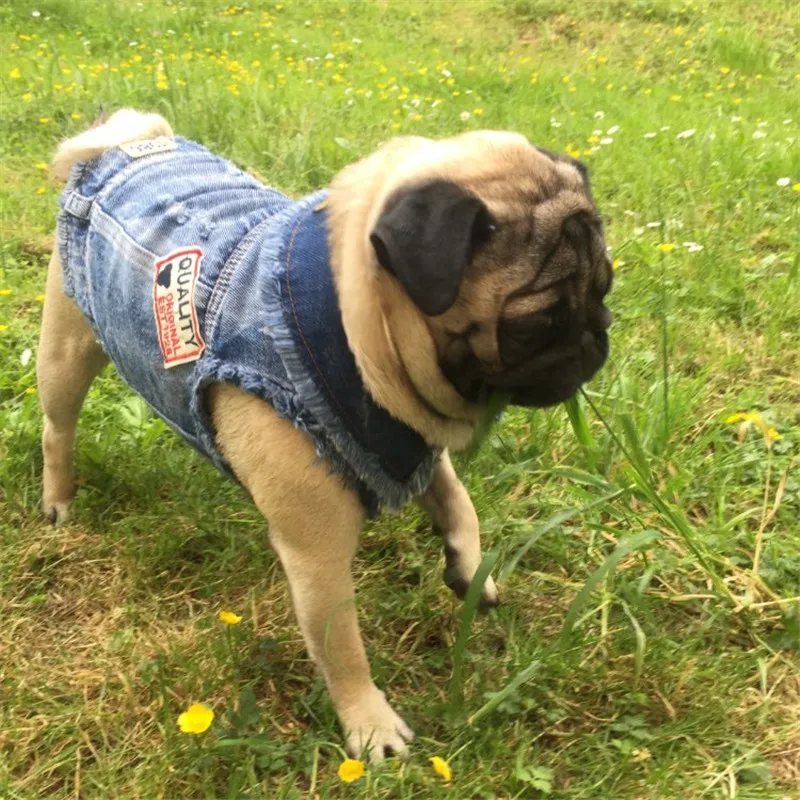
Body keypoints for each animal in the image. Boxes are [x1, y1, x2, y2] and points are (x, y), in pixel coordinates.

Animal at [39, 110, 612, 761]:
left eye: (606, 287)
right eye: (533, 325)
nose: (596, 337)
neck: (354, 327)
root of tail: (131, 138)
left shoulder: (408, 441)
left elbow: (457, 501)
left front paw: (471, 569)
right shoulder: (319, 557)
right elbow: (343, 648)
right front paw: (370, 724)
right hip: (66, 350)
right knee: (58, 427)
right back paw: (58, 500)